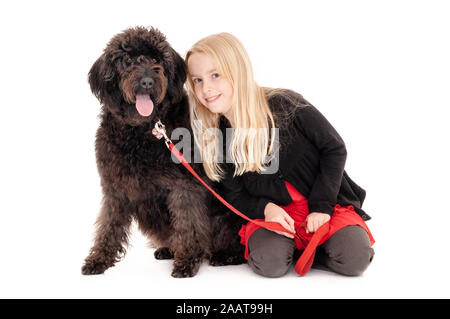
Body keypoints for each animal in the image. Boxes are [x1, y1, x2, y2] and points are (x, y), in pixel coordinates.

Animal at [81, 26, 243, 278]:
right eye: (127, 60)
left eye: (157, 59)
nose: (147, 82)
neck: (142, 131)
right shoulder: (114, 188)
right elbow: (109, 225)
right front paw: (99, 258)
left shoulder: (184, 186)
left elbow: (188, 224)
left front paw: (186, 261)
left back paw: (224, 255)